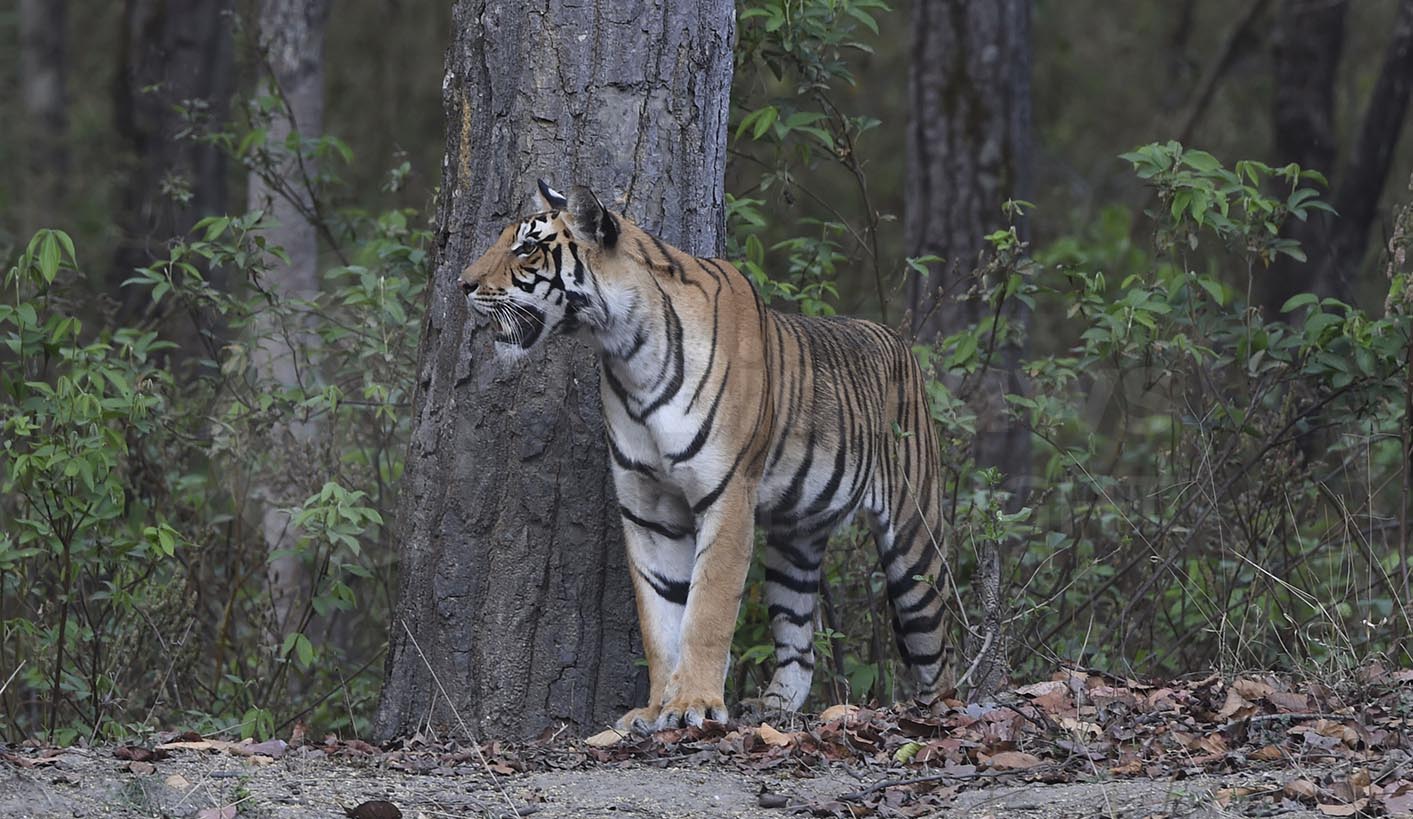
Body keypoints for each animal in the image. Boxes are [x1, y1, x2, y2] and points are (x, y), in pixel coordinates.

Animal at [457, 180, 955, 734]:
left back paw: (937, 712)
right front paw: (655, 709)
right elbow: (660, 619)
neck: (627, 351)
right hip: (795, 546)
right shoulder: (648, 510)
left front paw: (693, 703)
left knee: (937, 652)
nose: (462, 284)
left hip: (915, 543)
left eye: (527, 247)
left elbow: (707, 609)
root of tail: (898, 339)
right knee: (799, 647)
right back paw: (772, 710)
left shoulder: (729, 494)